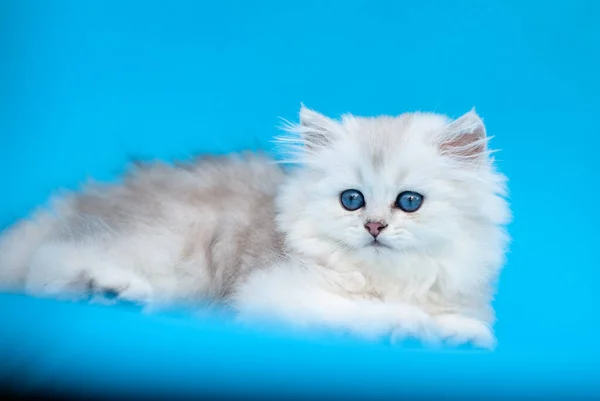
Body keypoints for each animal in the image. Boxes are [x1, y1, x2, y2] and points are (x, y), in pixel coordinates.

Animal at [0, 105, 510, 346]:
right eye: (352, 200)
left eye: (409, 202)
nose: (374, 227)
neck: (389, 280)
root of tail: (77, 201)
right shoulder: (275, 290)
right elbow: (360, 313)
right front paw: (406, 324)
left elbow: (453, 320)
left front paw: (459, 335)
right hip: (170, 249)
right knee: (49, 263)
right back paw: (109, 289)